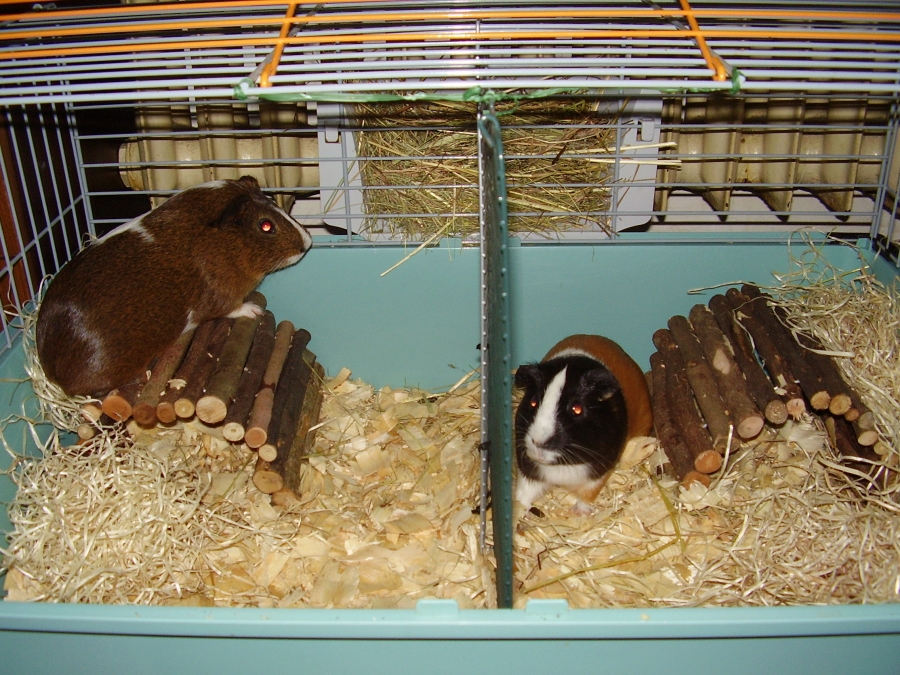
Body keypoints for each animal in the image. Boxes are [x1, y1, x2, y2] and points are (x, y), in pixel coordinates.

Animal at [36, 176, 312, 397]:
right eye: (265, 225)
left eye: (274, 203)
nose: (307, 243)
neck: (216, 243)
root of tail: (51, 371)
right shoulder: (221, 296)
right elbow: (233, 307)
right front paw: (255, 310)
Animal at [514, 334, 653, 513]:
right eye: (533, 402)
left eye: (577, 409)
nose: (539, 442)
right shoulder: (528, 470)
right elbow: (525, 493)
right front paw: (519, 509)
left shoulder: (599, 472)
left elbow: (587, 495)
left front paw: (577, 513)